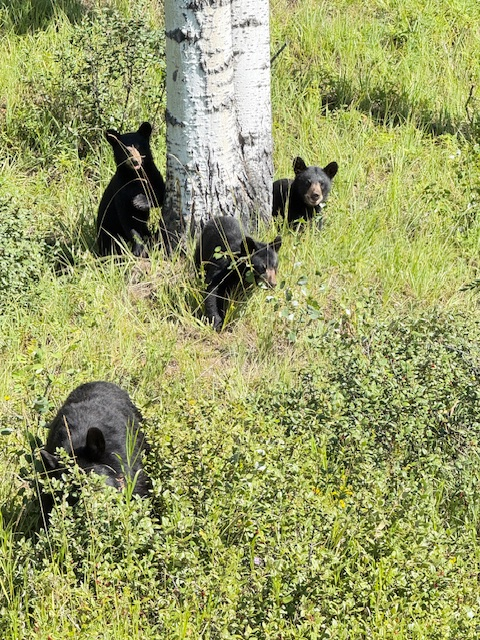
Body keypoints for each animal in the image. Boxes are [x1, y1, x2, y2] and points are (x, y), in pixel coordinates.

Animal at [96, 121, 165, 258]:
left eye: (138, 146)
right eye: (125, 149)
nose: (134, 161)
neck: (135, 175)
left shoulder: (152, 175)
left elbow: (159, 193)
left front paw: (139, 201)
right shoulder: (120, 189)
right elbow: (128, 219)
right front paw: (140, 249)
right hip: (107, 232)